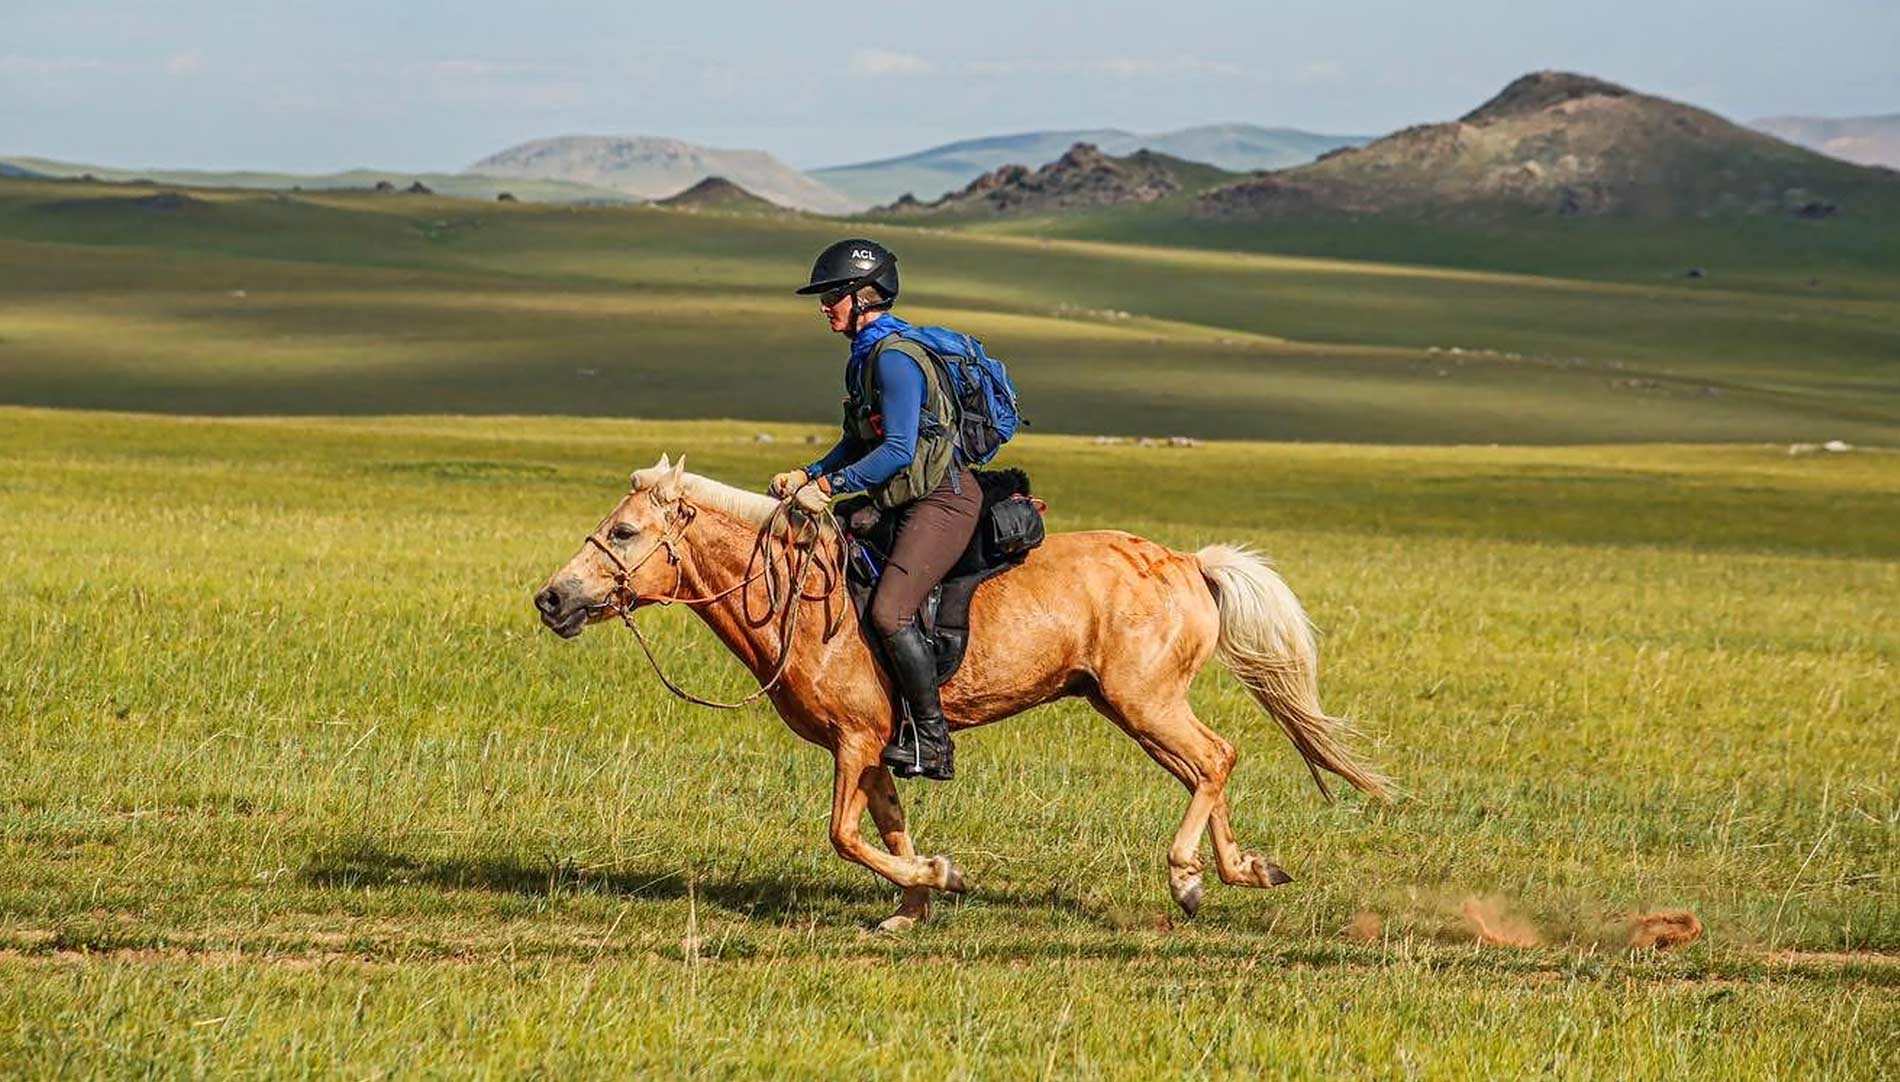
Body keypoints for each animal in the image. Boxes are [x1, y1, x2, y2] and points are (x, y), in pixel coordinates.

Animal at [533, 455, 1388, 930]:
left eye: (624, 533)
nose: (551, 598)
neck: (799, 598)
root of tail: (1188, 562)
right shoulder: (874, 747)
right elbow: (888, 828)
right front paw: (911, 910)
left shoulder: (855, 741)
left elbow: (845, 836)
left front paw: (939, 879)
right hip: (1127, 707)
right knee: (1203, 770)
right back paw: (1242, 871)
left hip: (1146, 701)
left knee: (1216, 758)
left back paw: (1187, 877)